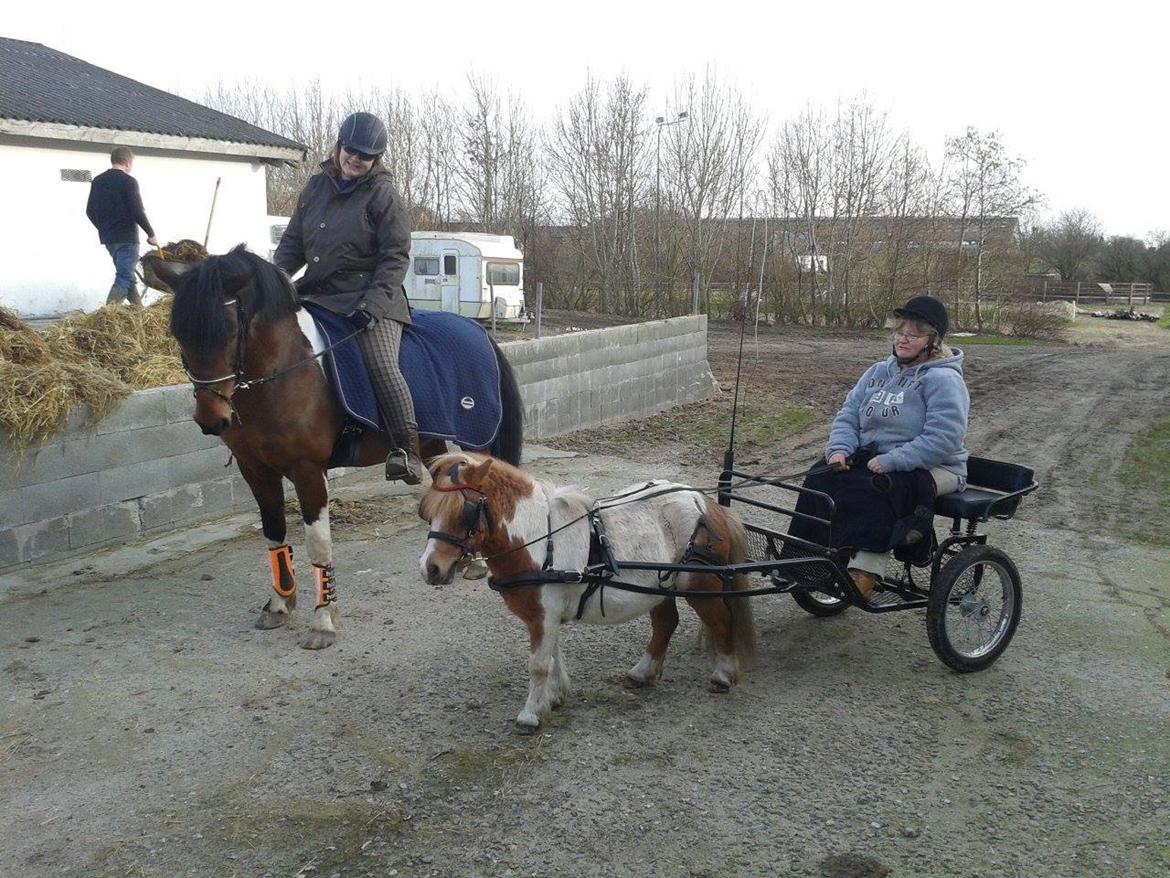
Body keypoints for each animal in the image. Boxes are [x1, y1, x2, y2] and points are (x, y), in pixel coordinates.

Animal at [149, 250, 521, 650]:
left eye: (231, 331)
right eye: (178, 333)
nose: (211, 419)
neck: (284, 369)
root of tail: (478, 332)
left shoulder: (308, 470)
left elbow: (318, 544)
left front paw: (324, 621)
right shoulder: (256, 471)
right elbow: (274, 532)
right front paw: (279, 604)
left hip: (476, 440)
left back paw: (478, 562)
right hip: (431, 442)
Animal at [416, 449, 753, 730]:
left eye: (464, 511)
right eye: (428, 512)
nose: (430, 568)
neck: (540, 539)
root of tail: (706, 503)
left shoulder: (543, 616)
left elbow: (539, 664)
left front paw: (529, 715)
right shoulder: (546, 616)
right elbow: (553, 656)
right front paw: (553, 698)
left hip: (700, 584)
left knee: (721, 621)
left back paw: (723, 675)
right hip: (660, 585)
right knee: (665, 624)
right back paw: (642, 673)